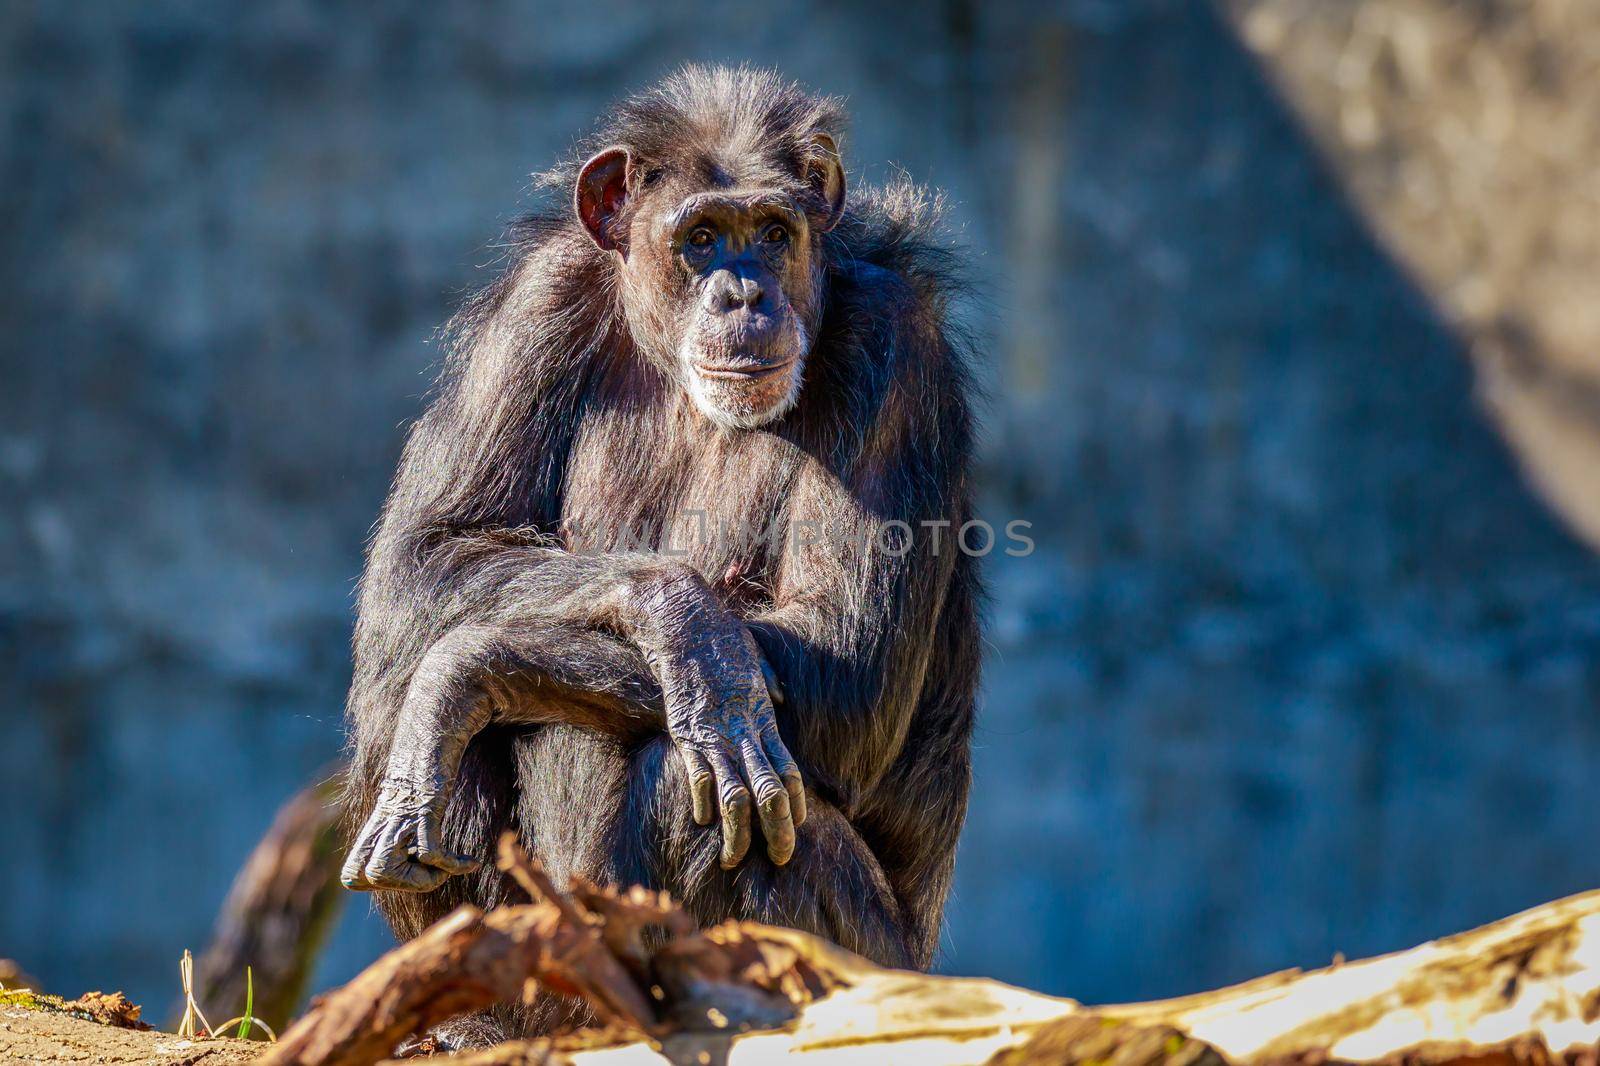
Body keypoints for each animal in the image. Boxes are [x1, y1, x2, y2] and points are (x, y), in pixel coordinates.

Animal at [344, 64, 979, 1030]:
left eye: (772, 233)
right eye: (702, 238)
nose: (744, 294)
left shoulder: (897, 345)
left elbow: (847, 661)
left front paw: (471, 672)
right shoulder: (539, 300)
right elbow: (428, 554)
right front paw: (685, 627)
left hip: (876, 966)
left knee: (690, 785)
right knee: (402, 679)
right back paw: (471, 1015)